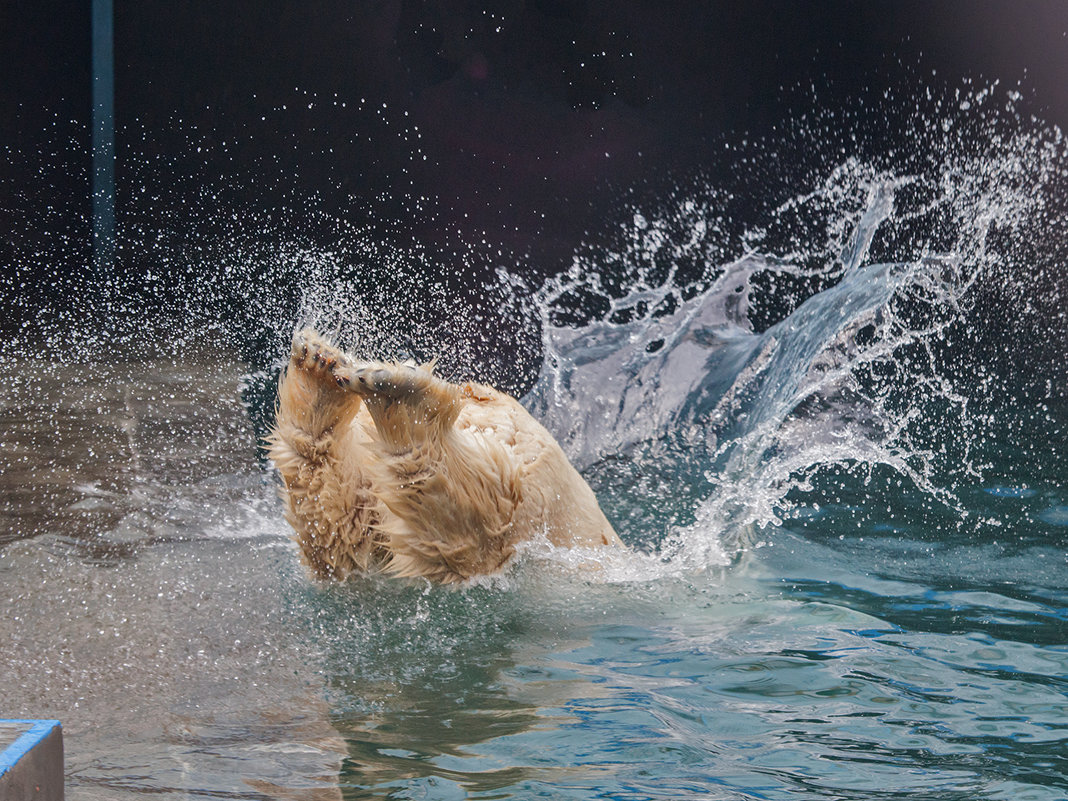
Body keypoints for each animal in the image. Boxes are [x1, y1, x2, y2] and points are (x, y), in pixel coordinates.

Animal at [264, 328, 623, 585]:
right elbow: (351, 533)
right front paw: (318, 361)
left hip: (544, 499)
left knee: (470, 512)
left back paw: (395, 396)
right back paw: (320, 371)